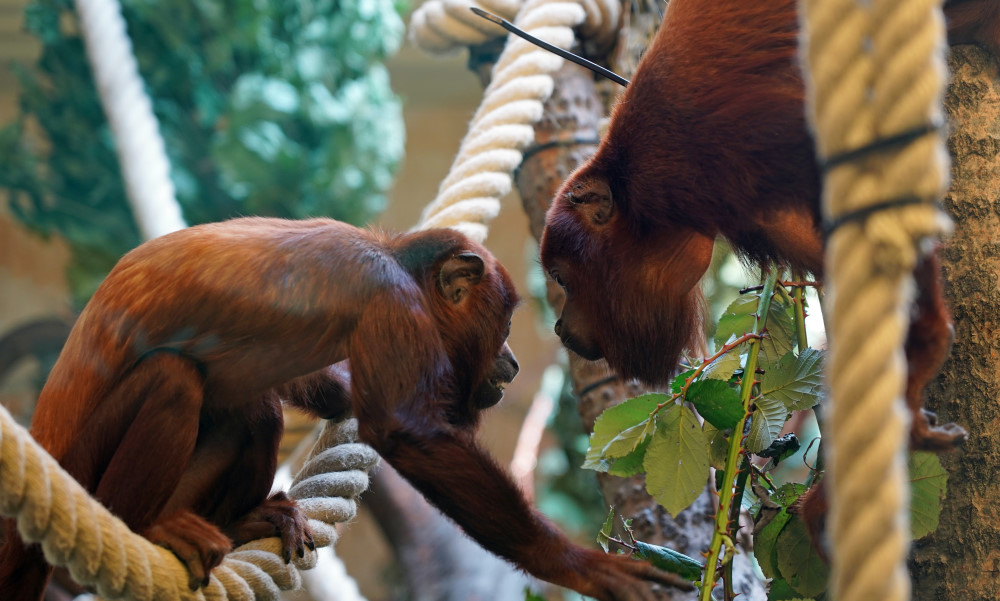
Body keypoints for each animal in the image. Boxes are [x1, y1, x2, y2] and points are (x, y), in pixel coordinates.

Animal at [0, 217, 692, 600]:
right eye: (500, 326)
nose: (514, 362)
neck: (394, 257)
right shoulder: (393, 303)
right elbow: (407, 434)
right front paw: (579, 568)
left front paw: (341, 395)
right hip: (86, 466)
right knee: (175, 379)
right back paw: (146, 526)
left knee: (254, 411)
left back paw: (241, 522)